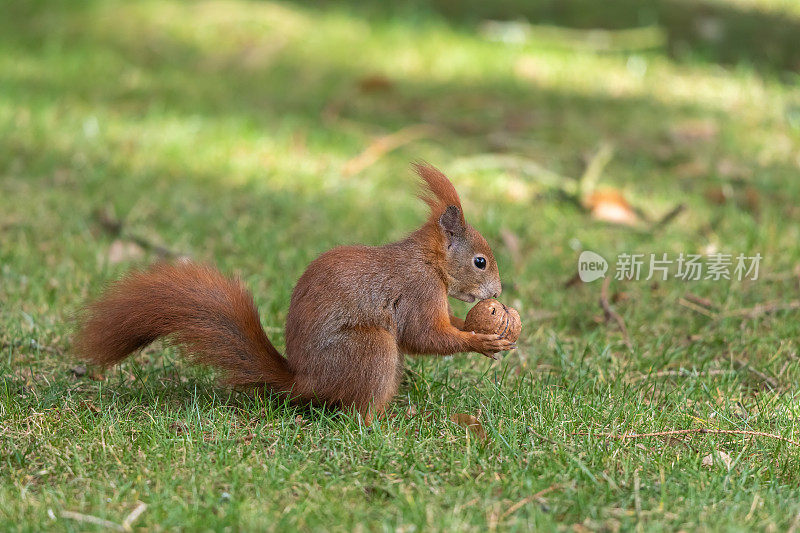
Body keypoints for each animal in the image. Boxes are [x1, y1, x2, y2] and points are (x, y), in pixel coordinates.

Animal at [75, 164, 512, 422]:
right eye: (480, 262)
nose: (498, 290)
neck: (429, 261)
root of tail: (305, 381)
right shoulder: (417, 290)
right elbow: (424, 335)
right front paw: (481, 340)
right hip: (371, 349)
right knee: (358, 410)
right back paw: (385, 421)